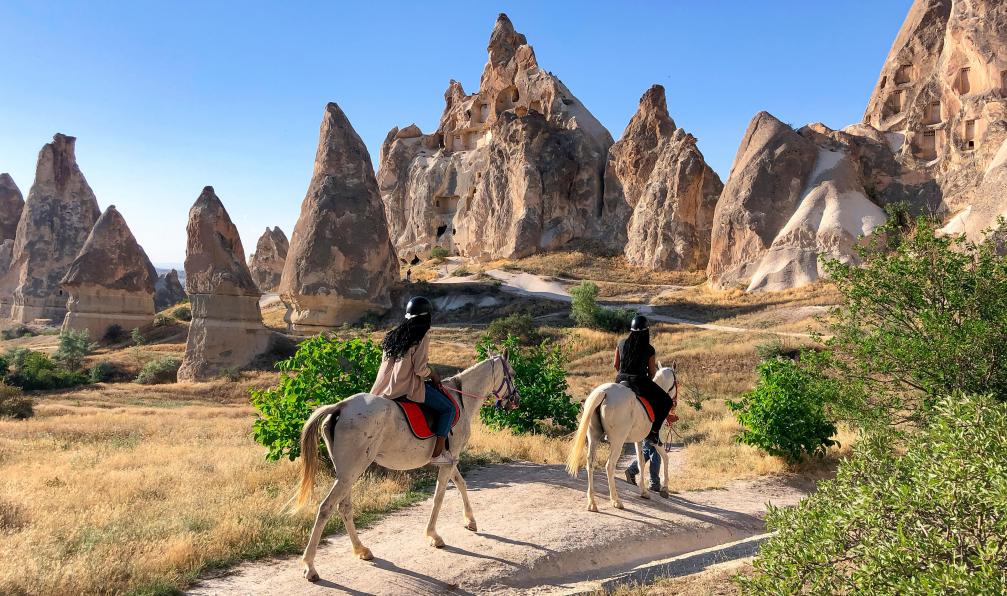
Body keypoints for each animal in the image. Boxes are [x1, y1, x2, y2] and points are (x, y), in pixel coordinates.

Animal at [294, 353, 520, 583]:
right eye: (512, 374)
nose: (515, 400)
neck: (461, 401)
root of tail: (342, 406)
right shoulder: (451, 458)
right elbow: (439, 496)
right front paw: (434, 535)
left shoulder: (450, 459)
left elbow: (461, 483)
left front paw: (470, 521)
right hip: (351, 471)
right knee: (326, 508)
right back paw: (310, 566)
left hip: (347, 472)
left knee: (344, 507)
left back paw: (361, 549)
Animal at [565, 364, 678, 511]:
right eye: (677, 382)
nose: (675, 403)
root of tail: (604, 392)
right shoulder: (655, 441)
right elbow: (665, 458)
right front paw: (665, 489)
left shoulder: (638, 440)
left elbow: (641, 461)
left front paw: (644, 491)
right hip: (617, 442)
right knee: (609, 466)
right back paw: (616, 500)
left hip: (593, 437)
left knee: (590, 463)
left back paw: (592, 502)